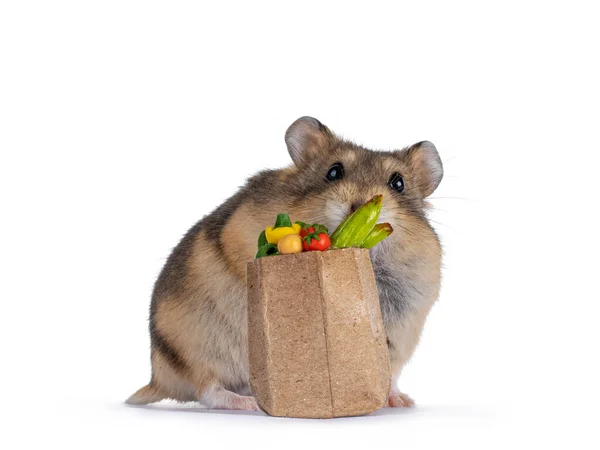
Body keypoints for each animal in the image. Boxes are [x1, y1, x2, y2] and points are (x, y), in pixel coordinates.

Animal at [126, 117, 442, 412]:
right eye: (334, 171)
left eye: (398, 183)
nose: (359, 205)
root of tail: (158, 379)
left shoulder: (398, 337)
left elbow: (390, 375)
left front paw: (403, 401)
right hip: (197, 349)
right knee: (208, 389)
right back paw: (248, 403)